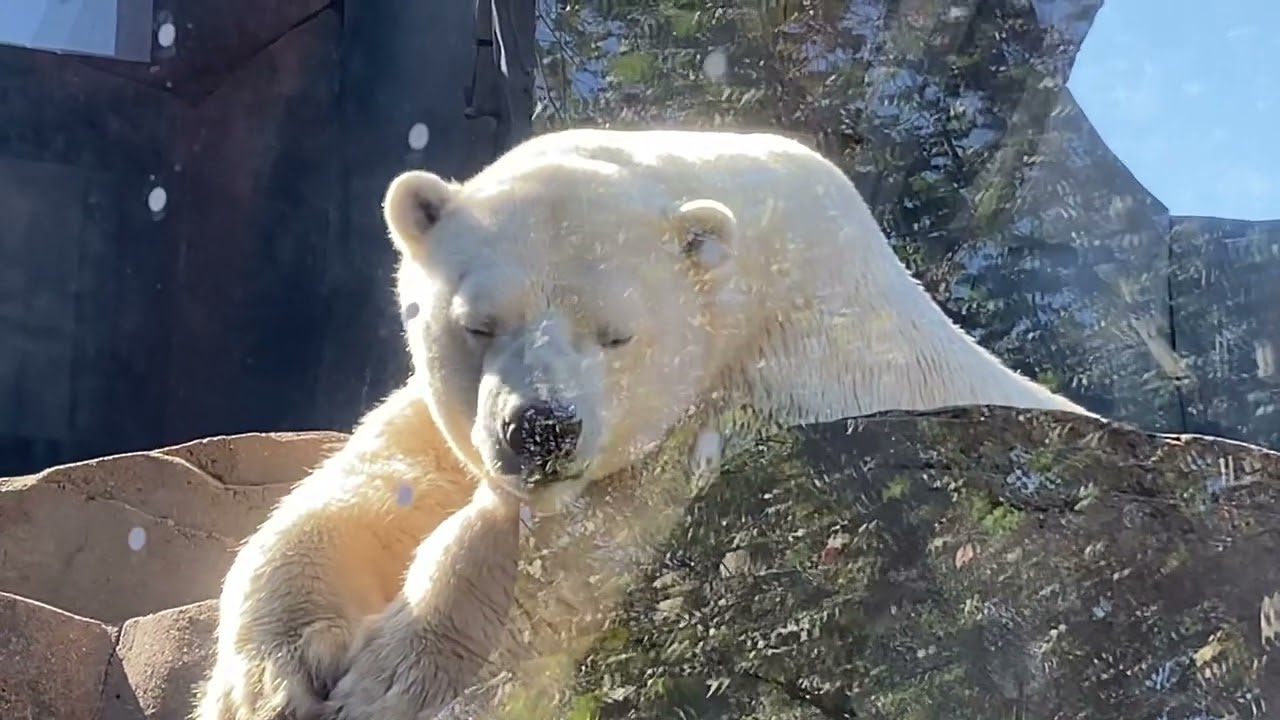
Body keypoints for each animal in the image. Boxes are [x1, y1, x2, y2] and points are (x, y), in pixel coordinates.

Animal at [193, 127, 1095, 720]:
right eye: (476, 323)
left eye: (617, 334)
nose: (541, 429)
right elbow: (380, 482)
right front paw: (269, 682)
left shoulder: (746, 398)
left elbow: (569, 541)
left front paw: (396, 686)